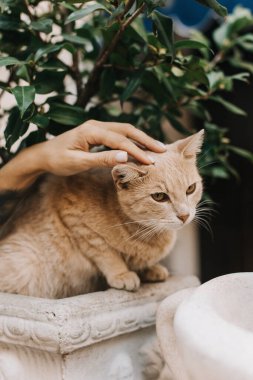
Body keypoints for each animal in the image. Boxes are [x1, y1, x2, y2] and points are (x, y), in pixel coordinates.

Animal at [0, 131, 204, 296]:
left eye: (191, 189)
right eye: (159, 197)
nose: (184, 215)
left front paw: (150, 269)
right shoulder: (75, 218)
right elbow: (105, 253)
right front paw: (122, 273)